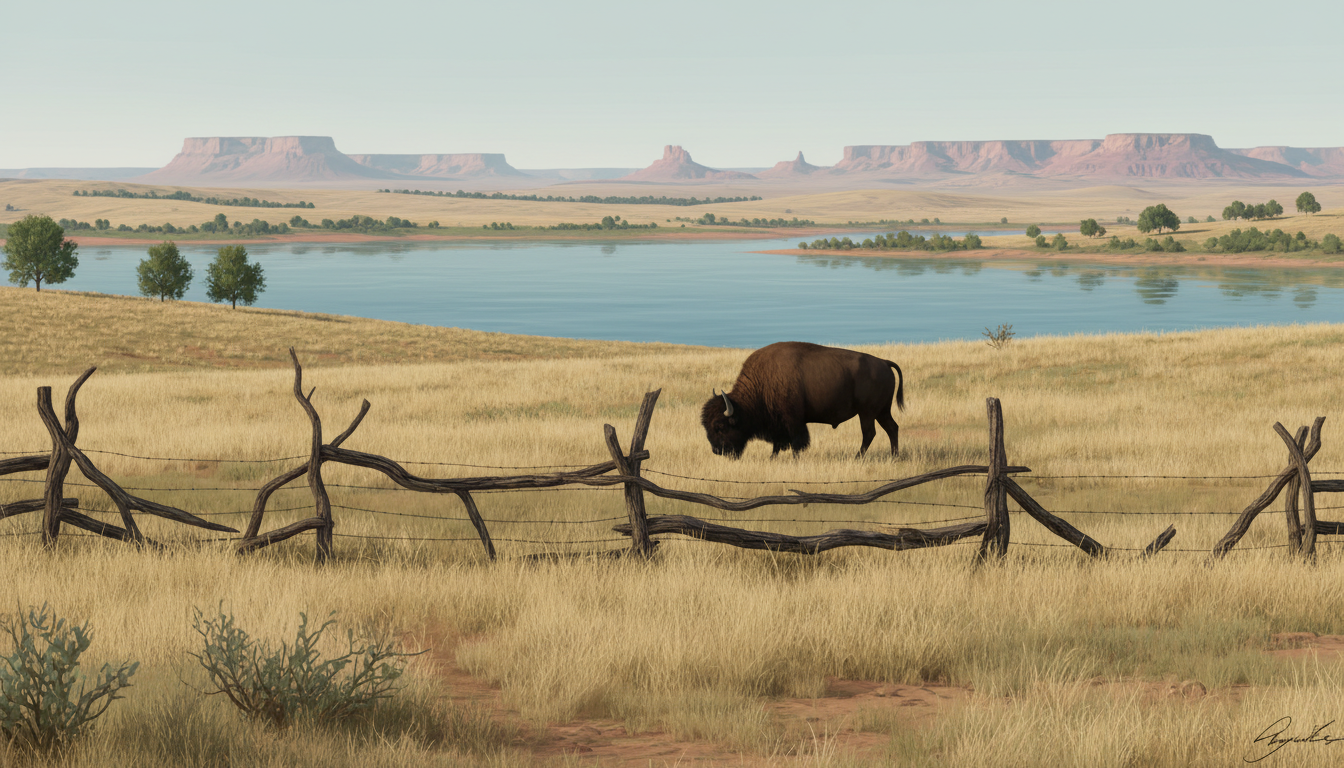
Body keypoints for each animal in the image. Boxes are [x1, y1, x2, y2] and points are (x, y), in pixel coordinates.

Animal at [701, 341, 905, 459]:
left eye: (720, 426)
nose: (717, 450)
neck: (763, 382)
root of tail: (884, 362)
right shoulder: (777, 424)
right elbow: (778, 443)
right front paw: (772, 458)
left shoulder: (793, 420)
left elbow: (797, 442)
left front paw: (794, 459)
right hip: (881, 411)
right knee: (892, 428)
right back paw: (894, 457)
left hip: (867, 413)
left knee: (869, 433)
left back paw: (858, 458)